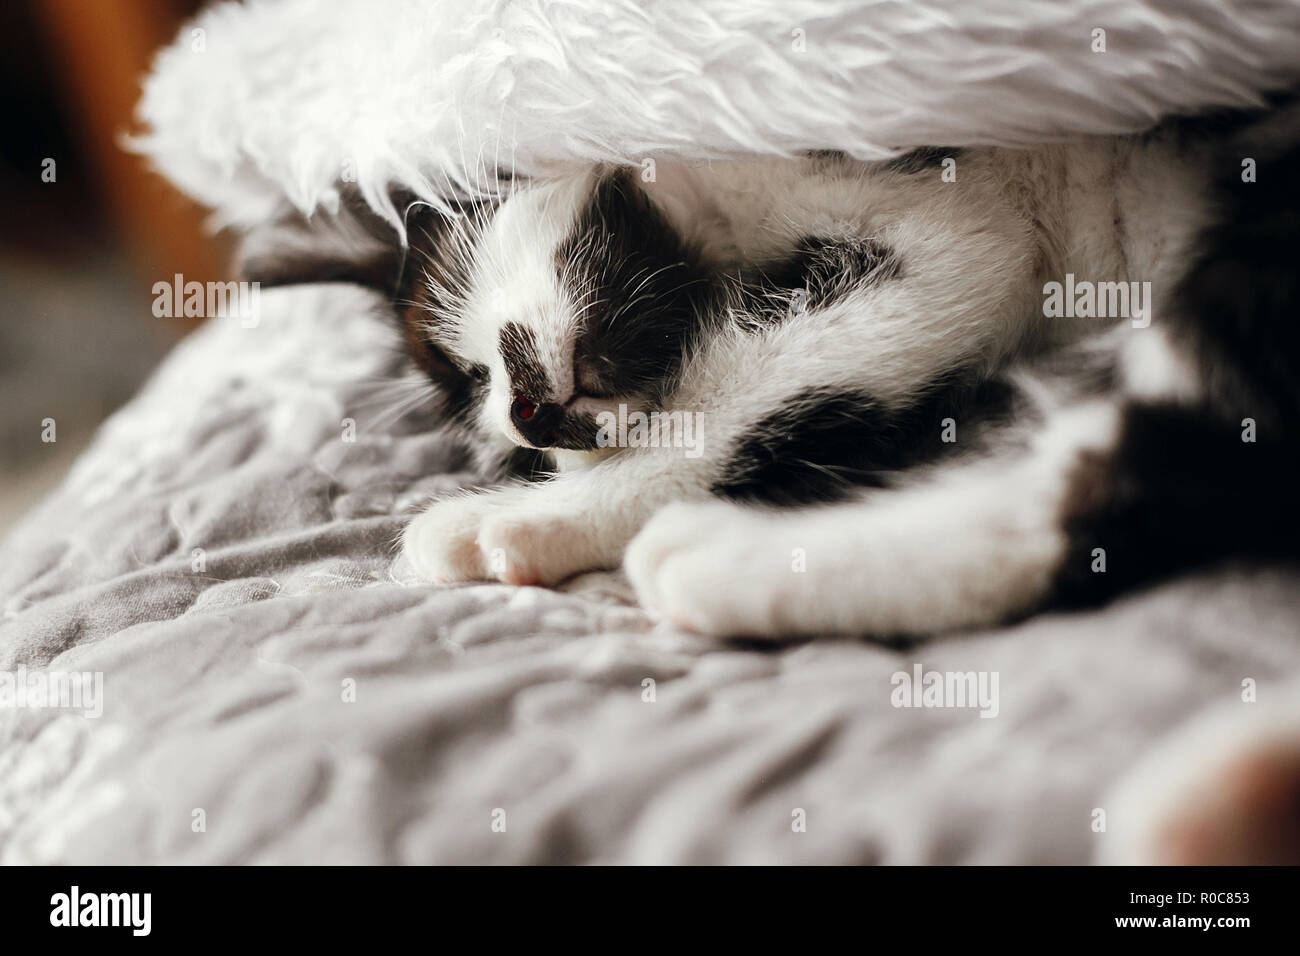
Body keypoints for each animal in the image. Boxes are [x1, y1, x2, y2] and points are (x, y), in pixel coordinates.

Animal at [244, 100, 1300, 639]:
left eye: (475, 368)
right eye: (481, 405)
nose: (530, 415)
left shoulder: (954, 226)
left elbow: (751, 395)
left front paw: (524, 517)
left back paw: (724, 559)